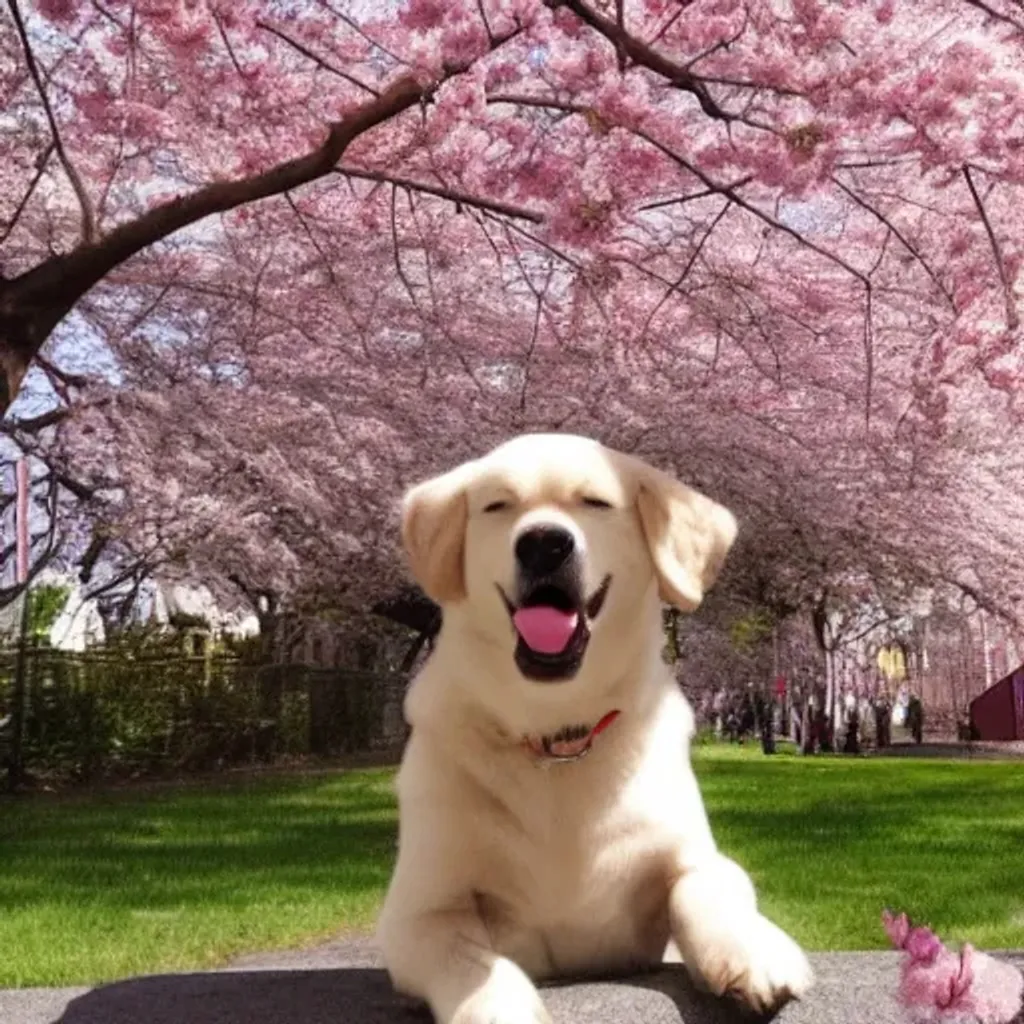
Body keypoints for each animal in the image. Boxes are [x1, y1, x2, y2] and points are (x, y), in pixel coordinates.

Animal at [372, 434, 811, 1024]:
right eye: (498, 505)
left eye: (596, 503)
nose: (543, 543)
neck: (558, 736)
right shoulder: (420, 911)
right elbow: (470, 961)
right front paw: (499, 1008)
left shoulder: (695, 859)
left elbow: (705, 888)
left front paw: (753, 952)